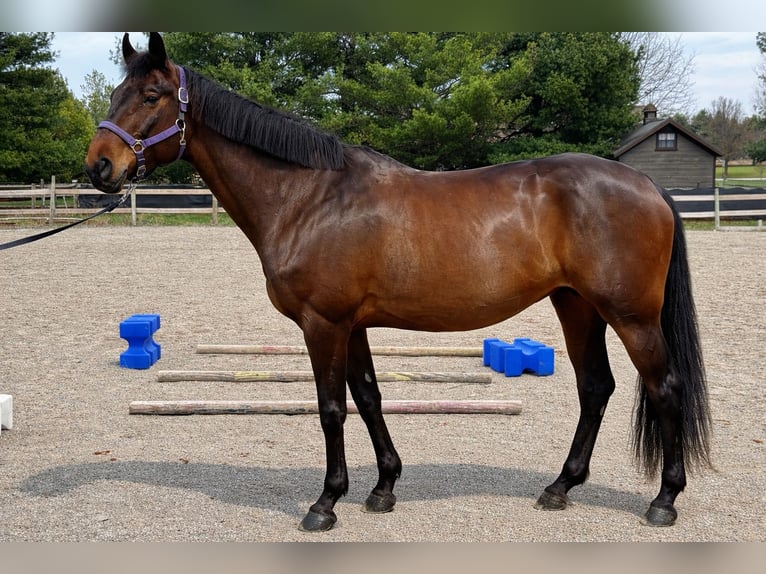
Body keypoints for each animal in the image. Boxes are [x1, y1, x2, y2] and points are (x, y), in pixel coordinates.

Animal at [85, 33, 711, 532]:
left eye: (150, 95)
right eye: (115, 94)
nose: (100, 166)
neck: (309, 197)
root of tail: (646, 184)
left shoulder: (323, 324)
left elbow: (331, 408)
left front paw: (325, 503)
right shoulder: (352, 325)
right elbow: (368, 397)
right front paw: (383, 488)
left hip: (630, 316)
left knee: (664, 388)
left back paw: (664, 499)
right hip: (576, 305)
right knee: (595, 388)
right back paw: (560, 487)